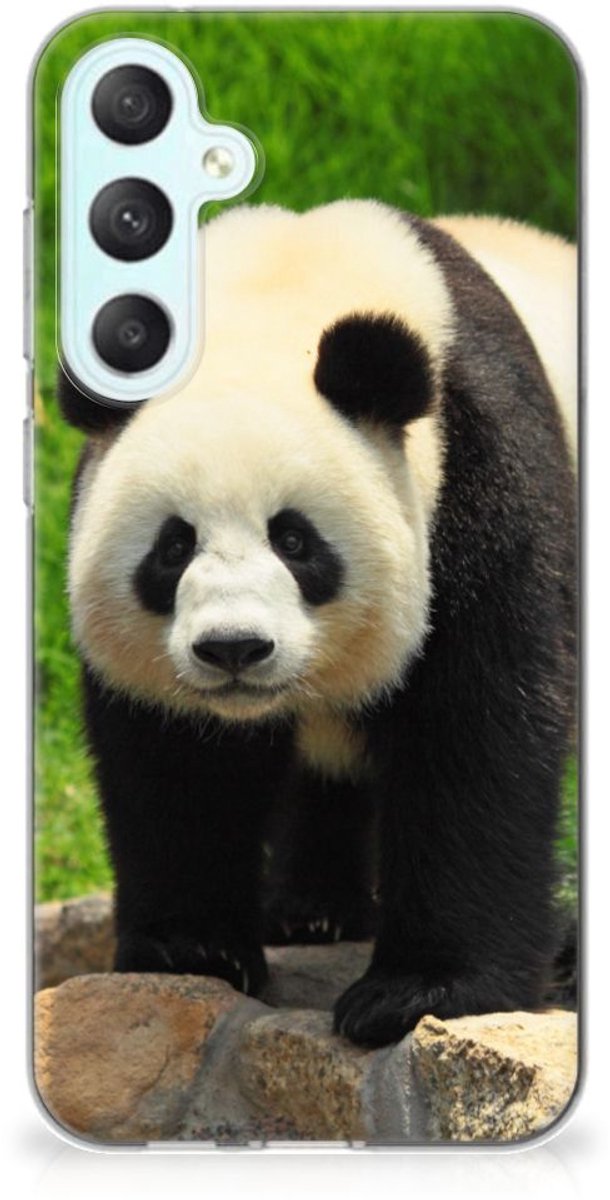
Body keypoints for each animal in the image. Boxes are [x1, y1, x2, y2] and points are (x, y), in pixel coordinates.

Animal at [59, 201, 577, 1048]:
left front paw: (420, 991)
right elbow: (177, 760)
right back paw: (312, 912)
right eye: (173, 547)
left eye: (295, 540)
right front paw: (192, 949)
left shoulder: (482, 474)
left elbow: (478, 729)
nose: (234, 648)